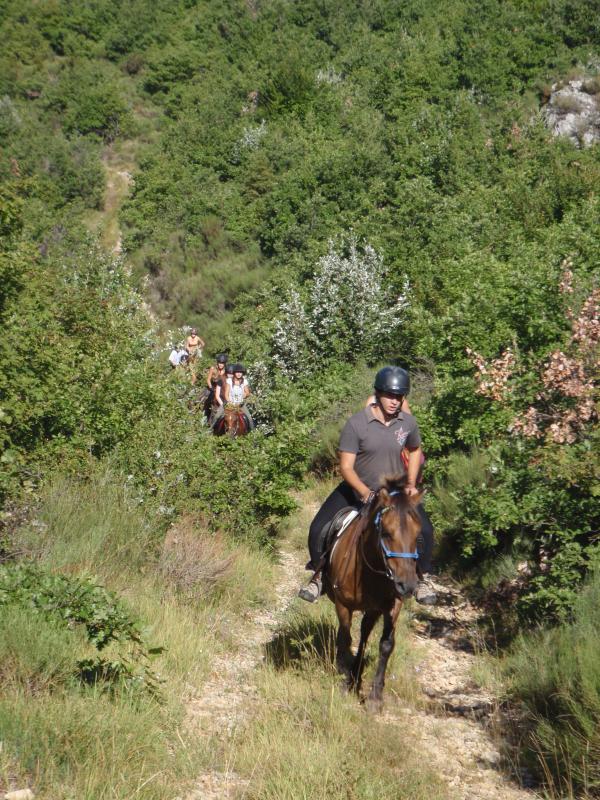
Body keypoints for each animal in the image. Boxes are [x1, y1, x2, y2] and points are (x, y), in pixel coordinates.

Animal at [324, 476, 422, 708]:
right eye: (386, 532)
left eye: (418, 535)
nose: (408, 585)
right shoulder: (343, 605)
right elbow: (345, 638)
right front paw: (344, 681)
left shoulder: (391, 606)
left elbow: (386, 645)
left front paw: (375, 696)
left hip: (373, 610)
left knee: (365, 635)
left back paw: (356, 675)